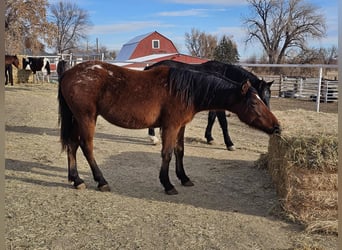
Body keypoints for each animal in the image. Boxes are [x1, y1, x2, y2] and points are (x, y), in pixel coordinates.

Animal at [146, 60, 274, 150]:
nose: (268, 114)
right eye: (259, 98)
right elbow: (223, 123)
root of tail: (149, 68)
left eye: (269, 95)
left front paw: (209, 137)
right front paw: (229, 144)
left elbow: (211, 119)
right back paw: (153, 138)